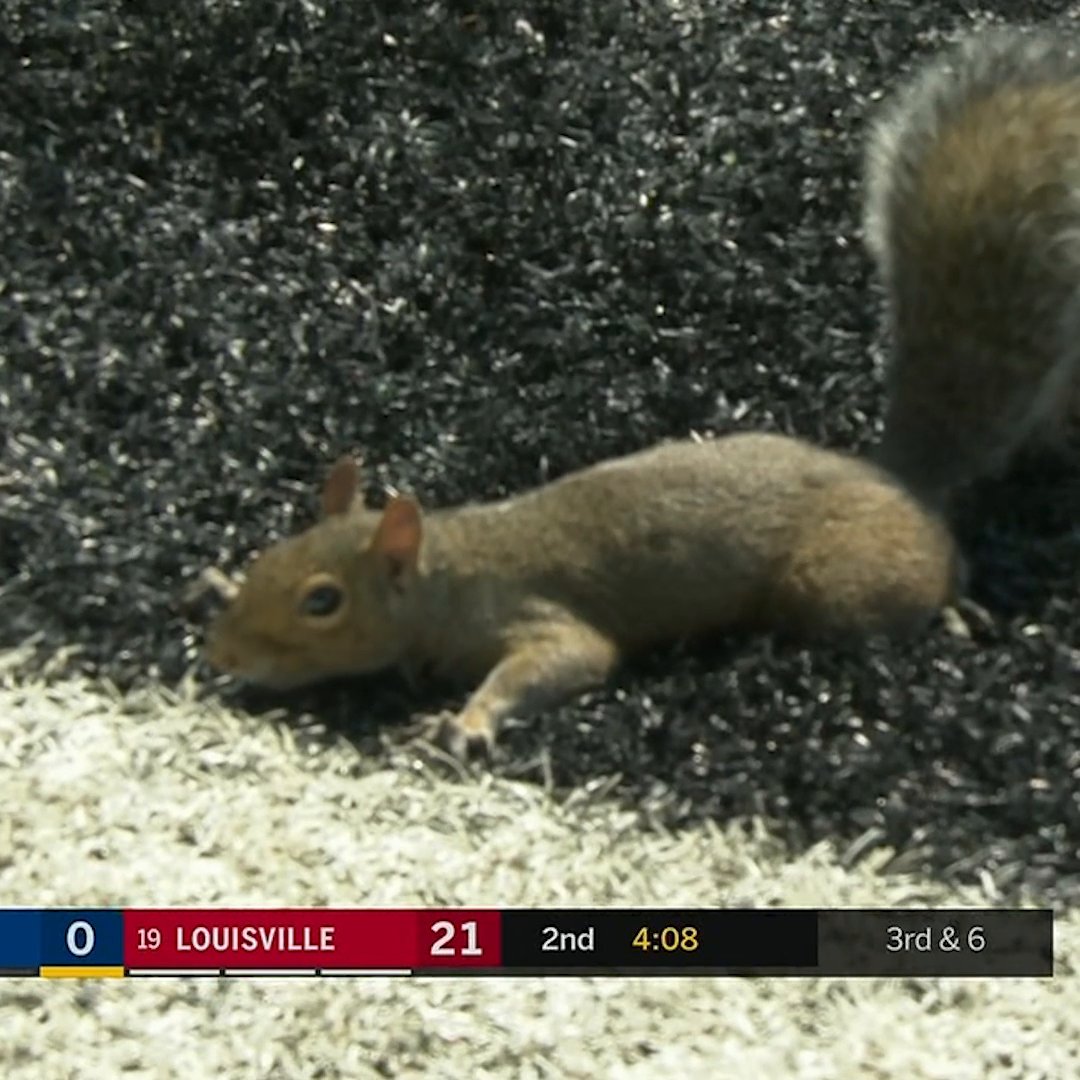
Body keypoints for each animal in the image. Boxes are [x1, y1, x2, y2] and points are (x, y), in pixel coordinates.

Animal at [201, 432, 963, 762]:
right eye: (264, 556)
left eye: (322, 603)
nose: (224, 654)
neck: (450, 574)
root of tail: (930, 521)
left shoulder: (532, 609)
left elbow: (569, 656)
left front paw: (463, 721)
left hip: (838, 582)